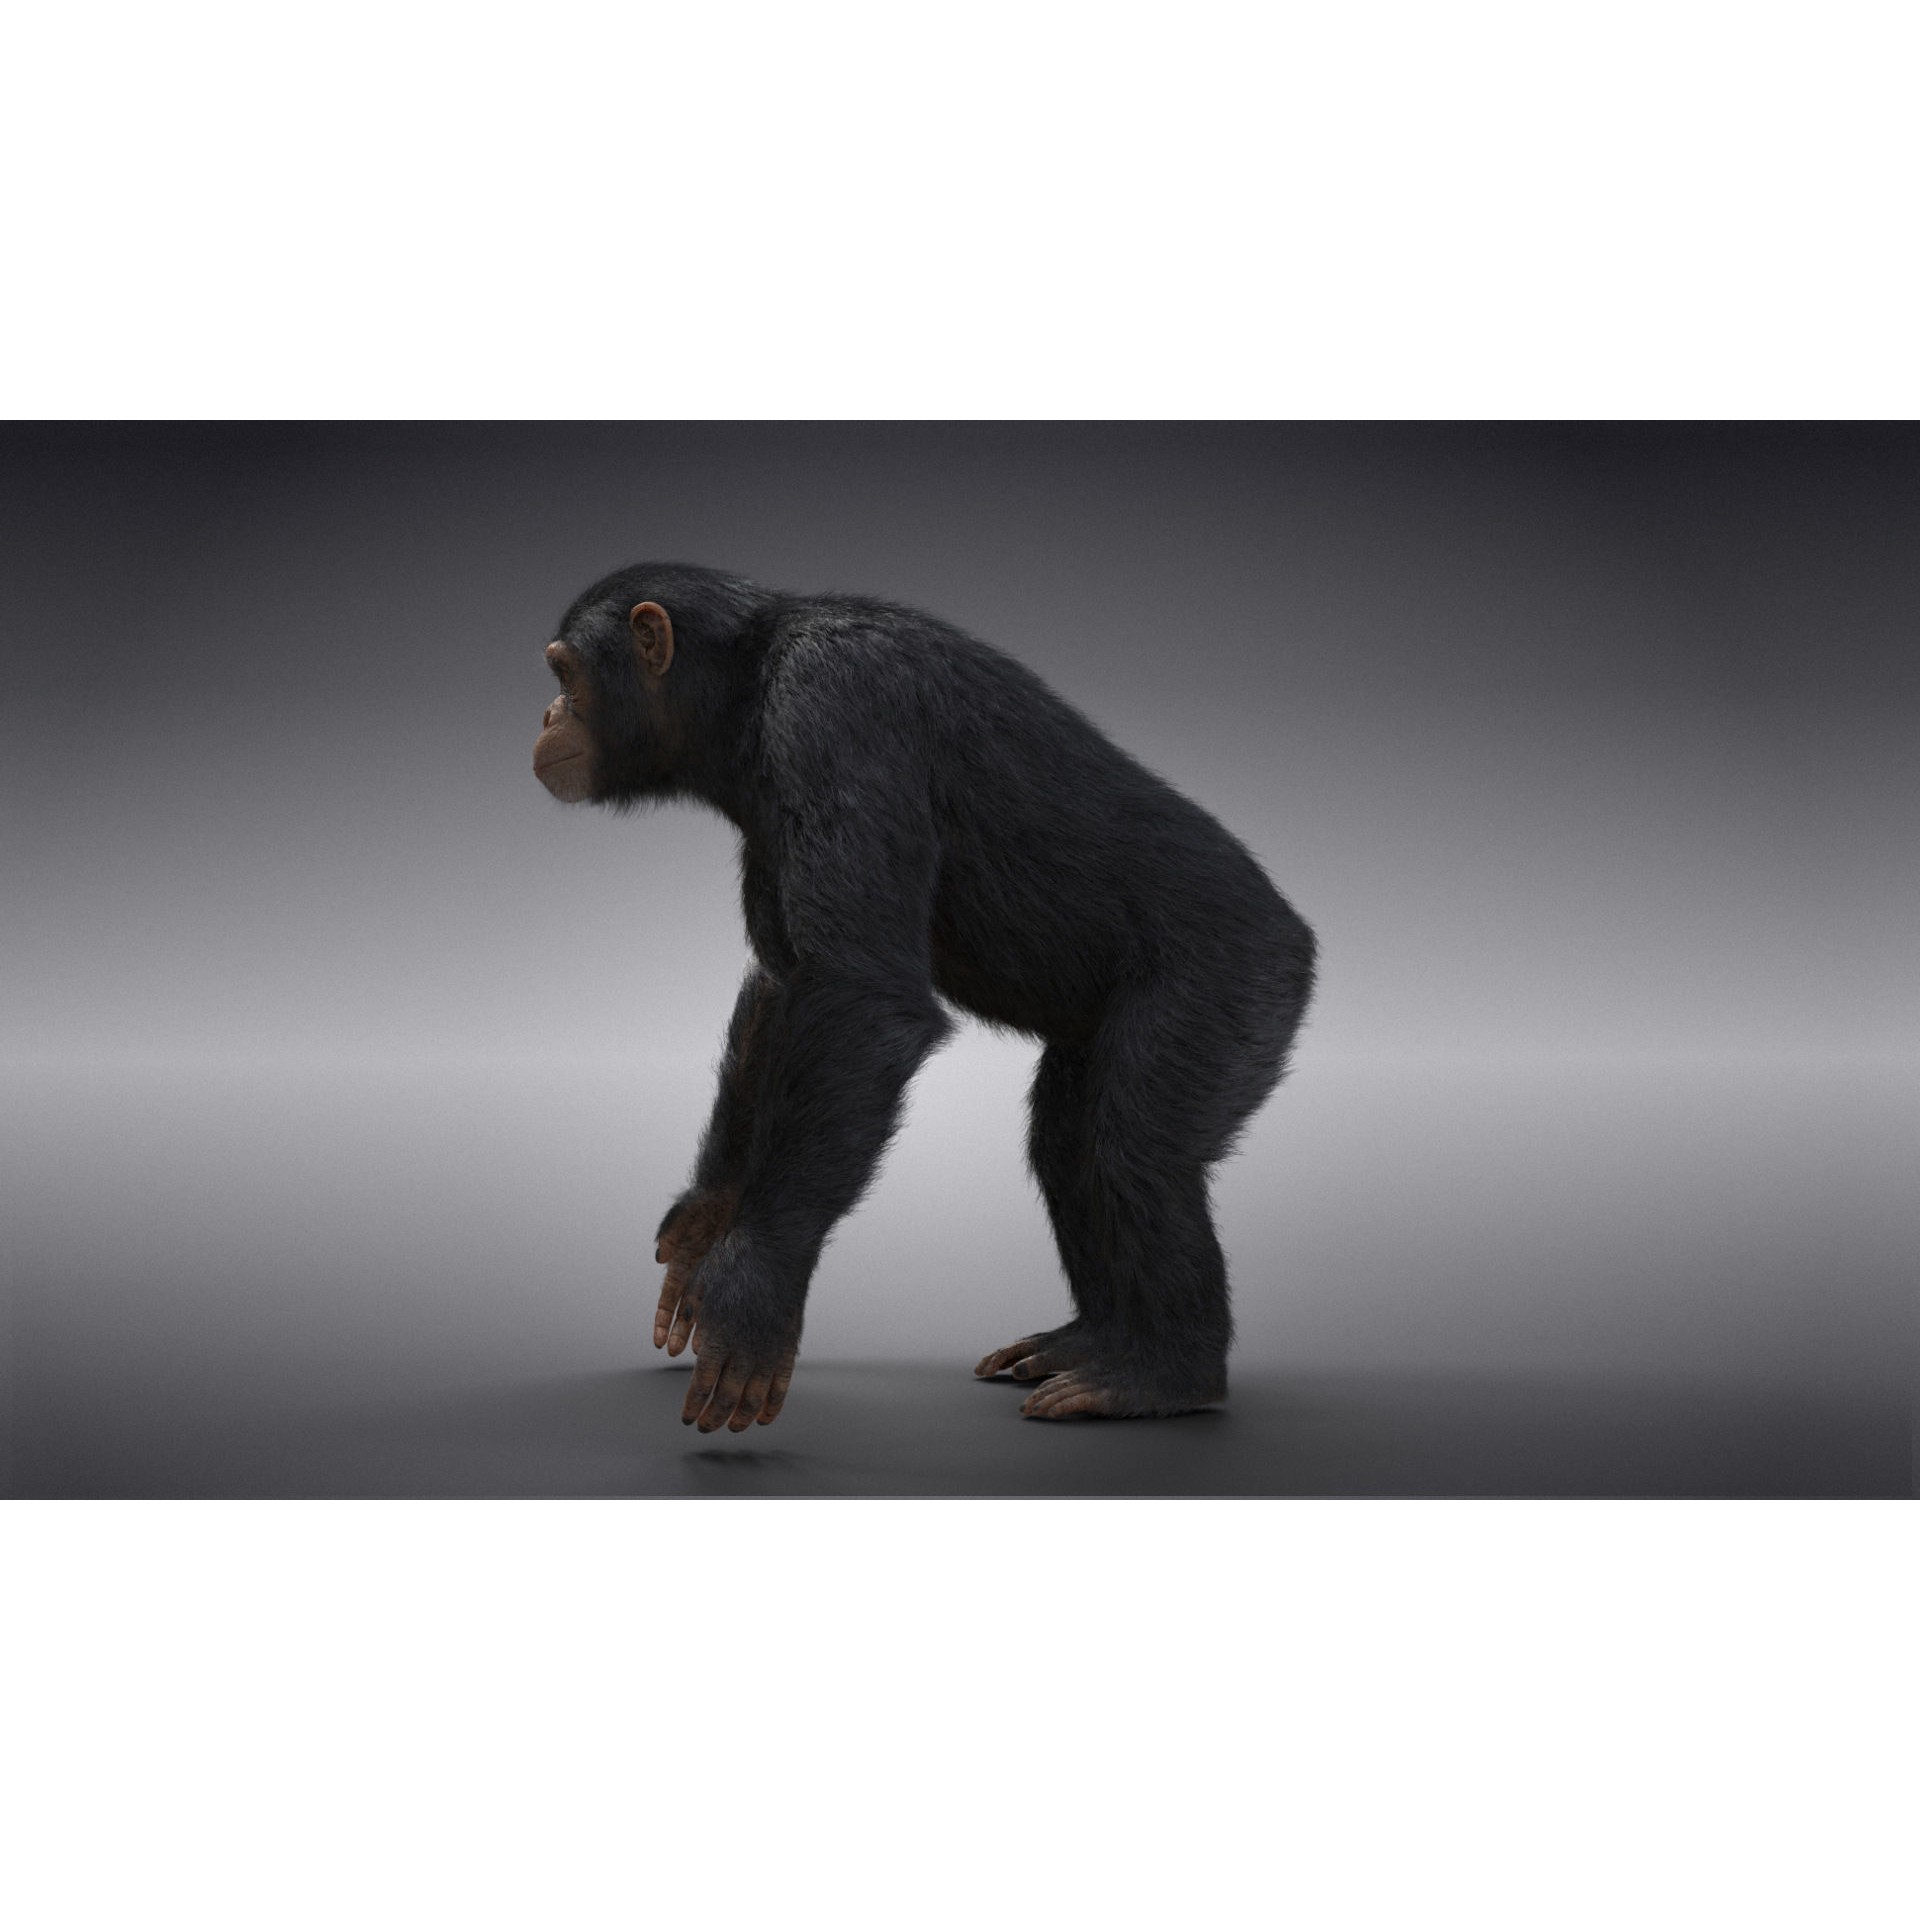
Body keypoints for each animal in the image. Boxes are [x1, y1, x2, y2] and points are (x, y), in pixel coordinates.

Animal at [535, 563, 1316, 1433]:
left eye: (565, 675)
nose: (548, 714)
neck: (746, 684)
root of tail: (1295, 931)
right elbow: (787, 981)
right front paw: (706, 1221)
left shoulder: (836, 710)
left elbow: (859, 993)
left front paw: (752, 1289)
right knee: (1069, 1140)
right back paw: (1091, 1342)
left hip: (1231, 982)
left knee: (1135, 1148)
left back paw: (1162, 1372)